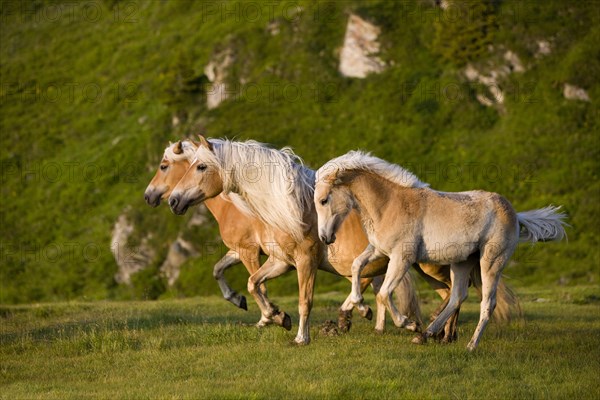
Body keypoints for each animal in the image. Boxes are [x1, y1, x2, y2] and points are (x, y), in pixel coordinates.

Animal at [144, 139, 422, 332]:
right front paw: (243, 302)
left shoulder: (250, 251)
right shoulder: (255, 253)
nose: (154, 197)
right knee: (375, 285)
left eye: (164, 166)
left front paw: (271, 317)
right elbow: (224, 272)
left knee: (369, 283)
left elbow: (259, 286)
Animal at [314, 151, 568, 350]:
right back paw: (426, 335)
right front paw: (363, 308)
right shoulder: (379, 250)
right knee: (457, 296)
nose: (325, 238)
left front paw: (409, 324)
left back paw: (469, 345)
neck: (389, 205)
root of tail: (515, 215)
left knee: (486, 304)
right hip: (463, 263)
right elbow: (357, 266)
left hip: (491, 262)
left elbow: (385, 293)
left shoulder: (401, 258)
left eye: (324, 200)